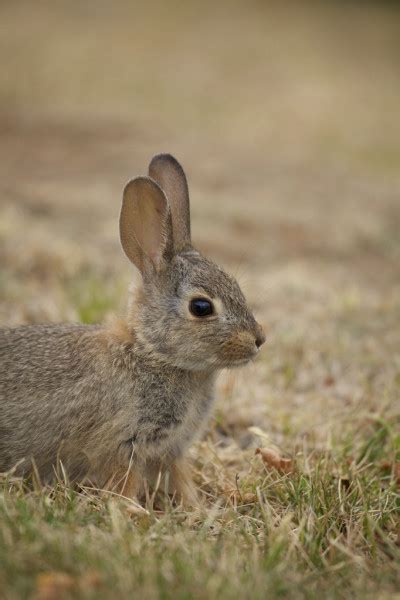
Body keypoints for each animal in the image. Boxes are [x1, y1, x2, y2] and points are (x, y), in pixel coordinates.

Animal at [0, 152, 266, 504]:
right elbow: (125, 483)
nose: (259, 340)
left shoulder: (171, 449)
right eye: (201, 307)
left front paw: (197, 506)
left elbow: (180, 479)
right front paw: (129, 509)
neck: (152, 354)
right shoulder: (124, 444)